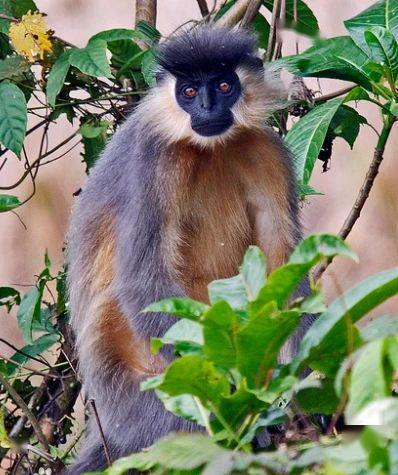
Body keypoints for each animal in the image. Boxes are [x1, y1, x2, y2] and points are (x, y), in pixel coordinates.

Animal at [66, 27, 314, 475]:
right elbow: (142, 280)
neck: (209, 146)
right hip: (139, 398)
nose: (206, 107)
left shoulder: (267, 150)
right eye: (189, 90)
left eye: (223, 85)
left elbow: (282, 263)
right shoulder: (152, 160)